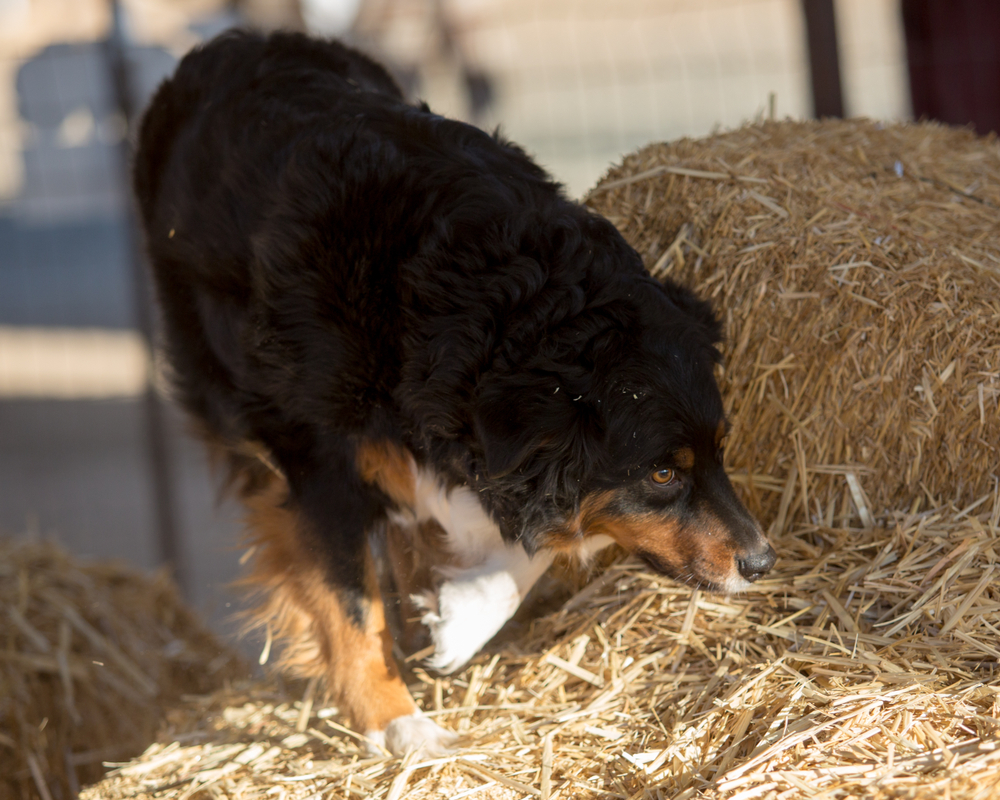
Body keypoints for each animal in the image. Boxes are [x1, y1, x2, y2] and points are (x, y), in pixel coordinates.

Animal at [131, 31, 772, 756]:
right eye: (663, 473)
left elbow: (538, 531)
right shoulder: (318, 462)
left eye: (721, 450)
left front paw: (459, 615)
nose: (761, 561)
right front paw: (396, 723)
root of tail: (231, 42)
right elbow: (351, 601)